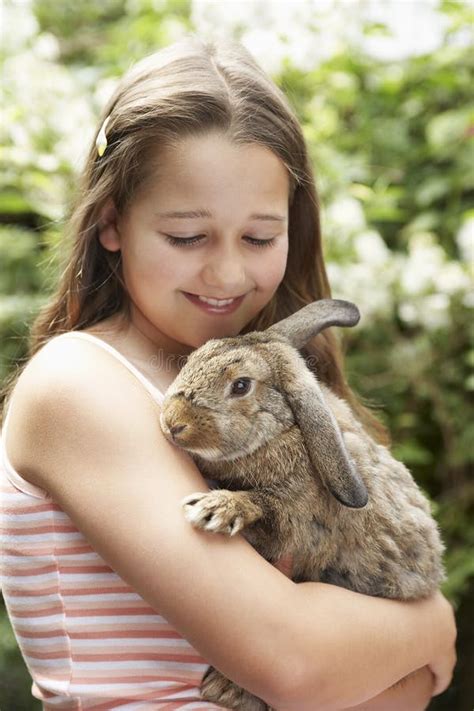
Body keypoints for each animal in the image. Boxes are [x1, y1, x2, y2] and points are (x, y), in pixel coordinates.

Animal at [158, 298, 444, 708]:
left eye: (241, 385)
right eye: (194, 357)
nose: (173, 423)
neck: (283, 430)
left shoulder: (297, 524)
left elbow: (265, 507)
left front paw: (215, 510)